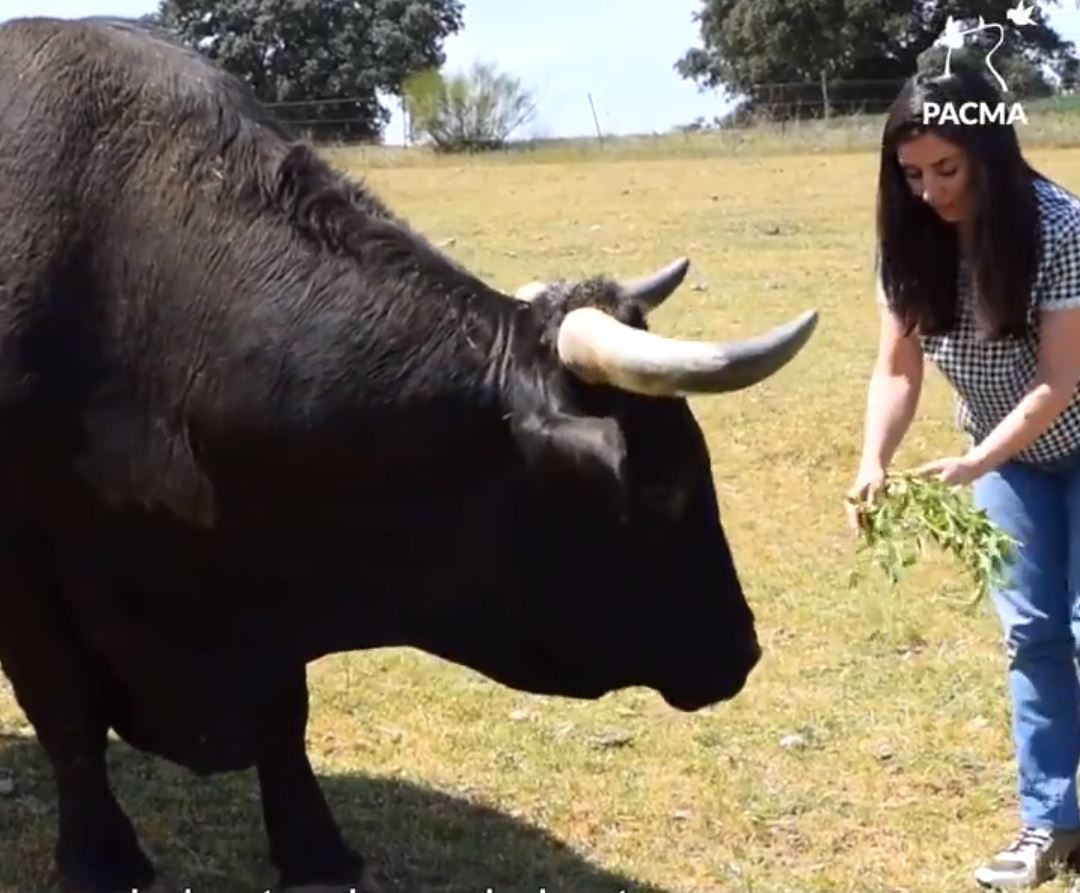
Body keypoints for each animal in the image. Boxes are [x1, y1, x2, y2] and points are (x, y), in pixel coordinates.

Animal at [0, 13, 812, 893]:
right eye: (662, 486)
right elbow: (68, 718)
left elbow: (285, 718)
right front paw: (100, 857)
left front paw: (316, 848)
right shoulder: (29, 587)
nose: (743, 646)